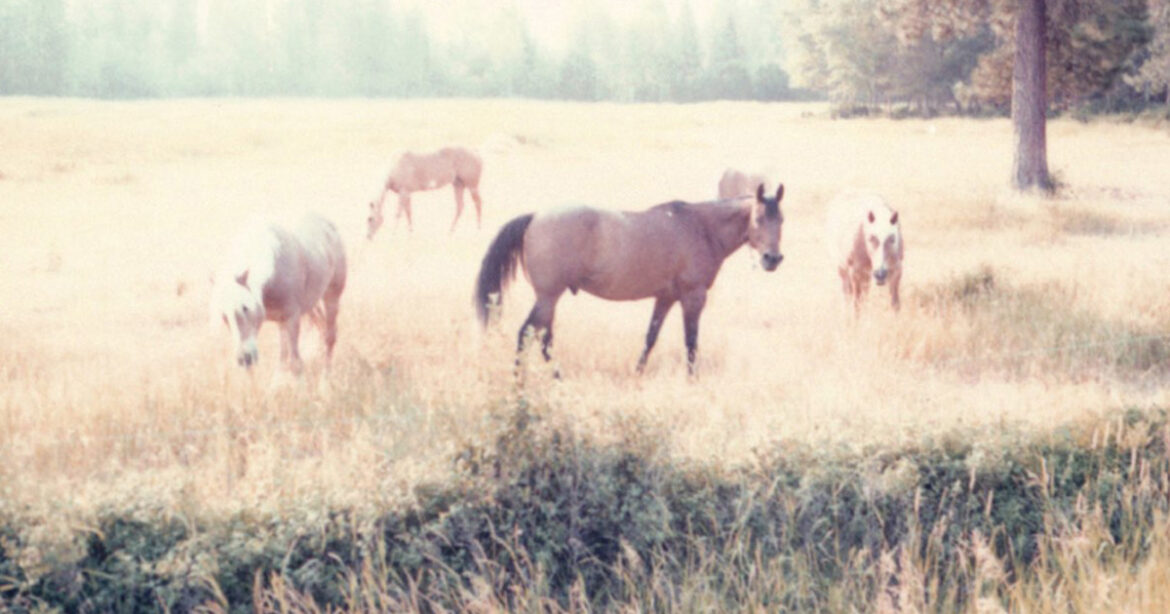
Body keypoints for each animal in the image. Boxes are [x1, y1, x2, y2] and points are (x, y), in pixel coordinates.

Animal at [210, 212, 346, 371]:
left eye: (245, 307)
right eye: (223, 315)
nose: (245, 358)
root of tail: (326, 222)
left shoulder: (292, 319)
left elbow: (295, 363)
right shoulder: (281, 320)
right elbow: (283, 358)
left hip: (332, 297)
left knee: (330, 337)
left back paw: (326, 377)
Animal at [472, 183, 786, 374]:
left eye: (781, 219)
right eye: (758, 219)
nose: (772, 259)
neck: (700, 227)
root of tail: (535, 217)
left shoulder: (665, 298)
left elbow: (650, 338)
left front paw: (638, 373)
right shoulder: (693, 297)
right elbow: (691, 342)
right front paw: (692, 380)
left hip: (549, 299)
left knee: (543, 339)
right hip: (548, 297)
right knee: (527, 334)